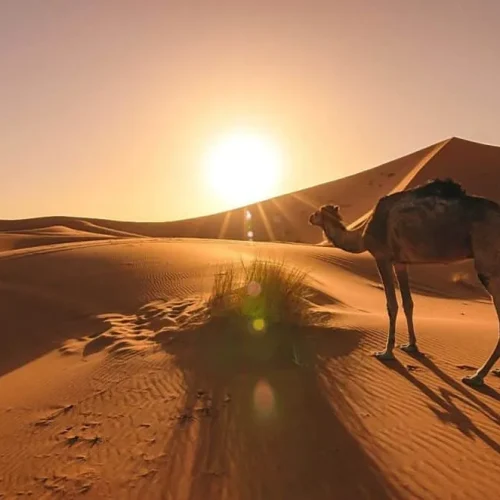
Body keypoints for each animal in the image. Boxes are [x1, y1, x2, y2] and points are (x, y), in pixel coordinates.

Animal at [308, 178, 500, 388]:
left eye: (317, 212)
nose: (310, 217)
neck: (363, 234)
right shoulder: (400, 262)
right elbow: (408, 303)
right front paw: (410, 346)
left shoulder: (382, 256)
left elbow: (391, 305)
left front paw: (386, 352)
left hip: (489, 266)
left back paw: (477, 376)